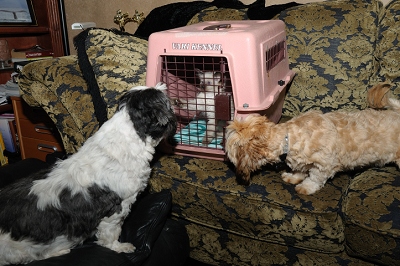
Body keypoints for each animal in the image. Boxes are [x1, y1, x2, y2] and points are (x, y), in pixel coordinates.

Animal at [225, 84, 400, 194]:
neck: (289, 138)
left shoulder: (324, 165)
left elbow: (315, 178)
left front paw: (306, 187)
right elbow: (300, 169)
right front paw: (293, 176)